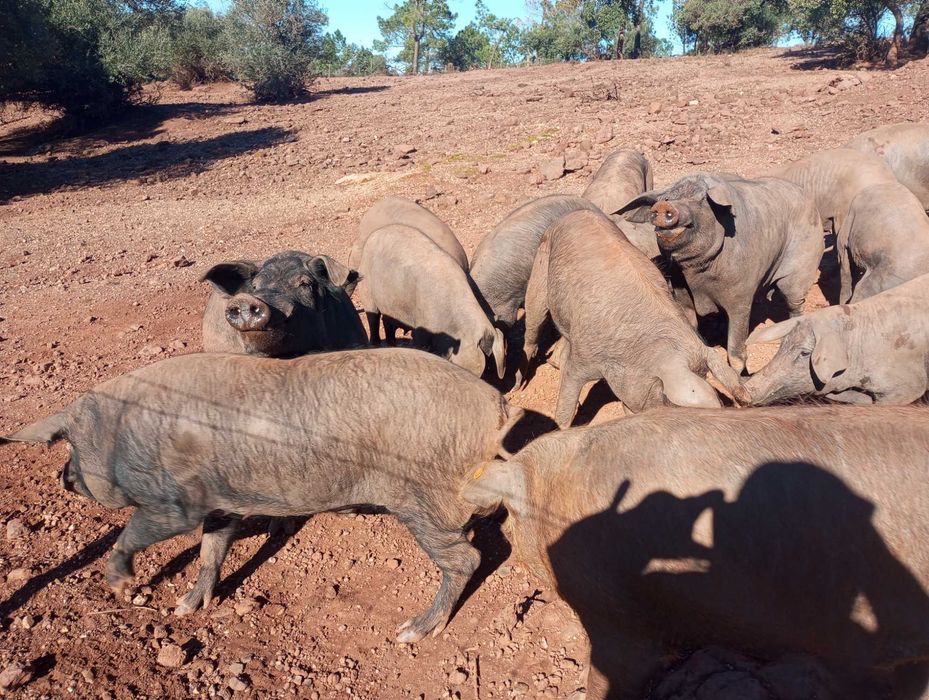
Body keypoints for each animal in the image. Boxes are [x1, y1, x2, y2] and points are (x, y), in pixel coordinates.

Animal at [1, 348, 524, 644]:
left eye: (69, 441)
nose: (64, 478)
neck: (122, 430)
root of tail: (496, 407)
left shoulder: (178, 503)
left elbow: (135, 532)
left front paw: (123, 587)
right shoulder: (222, 501)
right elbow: (212, 548)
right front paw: (186, 607)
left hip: (423, 500)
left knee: (466, 558)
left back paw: (412, 632)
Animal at [358, 225, 506, 379]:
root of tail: (375, 234)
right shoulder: (421, 326)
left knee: (388, 323)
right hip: (366, 289)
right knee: (373, 320)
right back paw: (375, 345)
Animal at [522, 209, 747, 427]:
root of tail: (576, 212)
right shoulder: (583, 358)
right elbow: (566, 403)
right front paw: (560, 426)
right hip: (541, 266)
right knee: (534, 320)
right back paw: (521, 383)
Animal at [619, 172, 824, 373]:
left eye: (701, 200)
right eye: (667, 198)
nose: (664, 206)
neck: (697, 273)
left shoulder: (741, 298)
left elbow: (736, 354)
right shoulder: (681, 293)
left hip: (802, 266)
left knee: (794, 303)